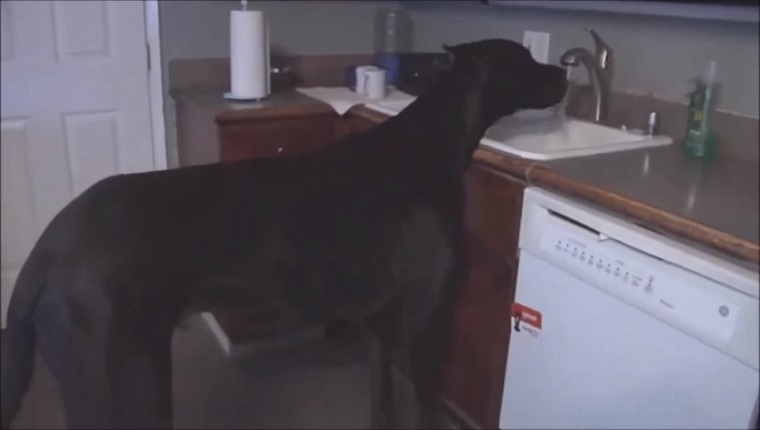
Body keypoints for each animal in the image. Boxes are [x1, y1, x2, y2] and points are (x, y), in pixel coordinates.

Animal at [1, 38, 564, 428]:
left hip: (145, 362)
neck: (432, 140)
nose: (565, 69)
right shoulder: (429, 321)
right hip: (102, 376)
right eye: (526, 57)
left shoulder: (381, 324)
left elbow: (382, 401)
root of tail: (48, 245)